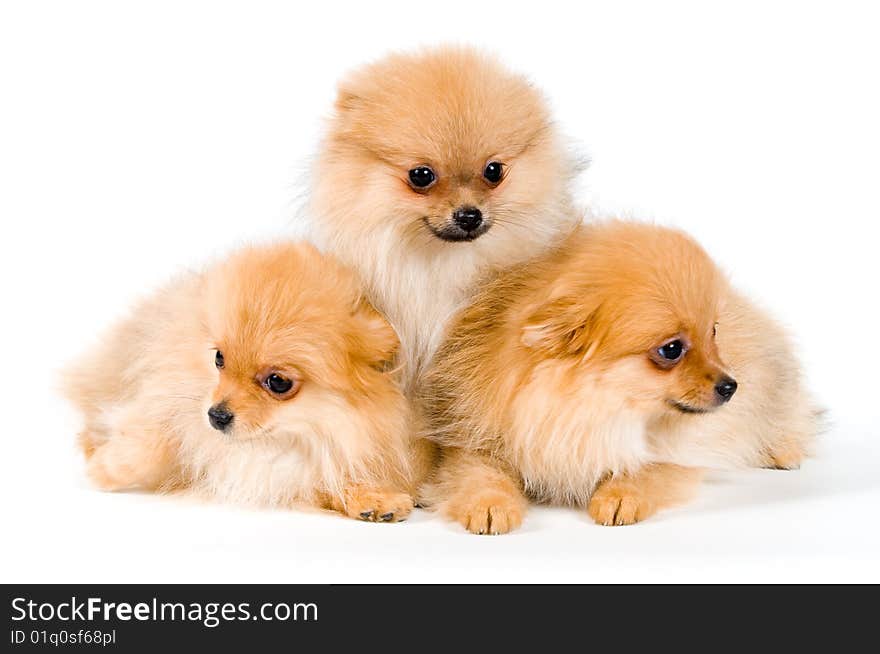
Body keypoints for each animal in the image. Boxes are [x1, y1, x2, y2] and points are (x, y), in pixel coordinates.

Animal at [420, 223, 820, 536]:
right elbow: (479, 473)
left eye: (714, 332)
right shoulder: (478, 437)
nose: (729, 386)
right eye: (672, 350)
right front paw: (490, 504)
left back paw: (783, 451)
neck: (594, 407)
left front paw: (621, 495)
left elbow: (652, 468)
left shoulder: (681, 449)